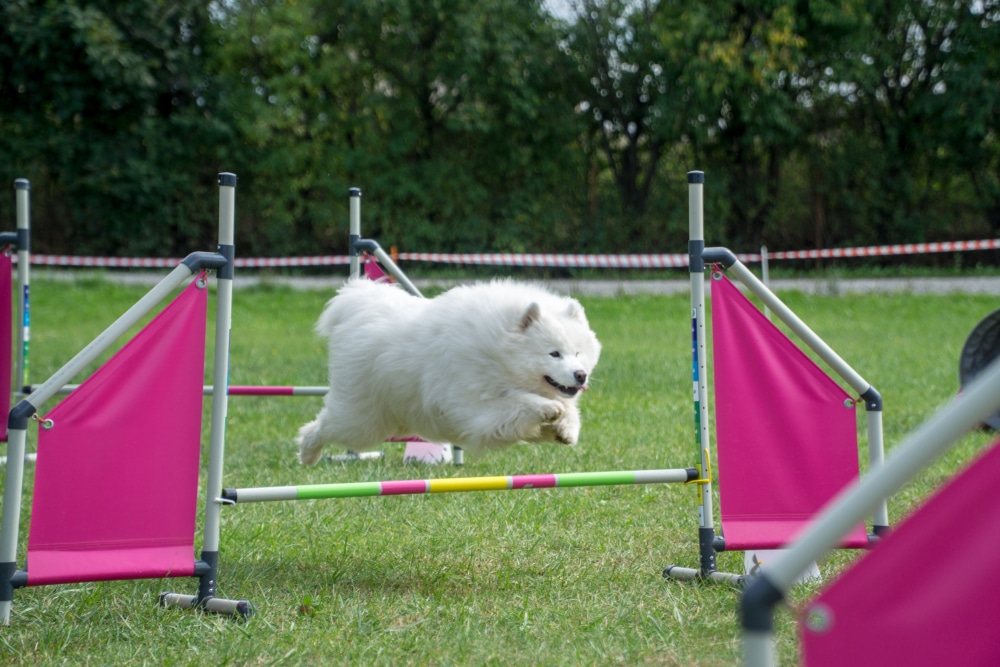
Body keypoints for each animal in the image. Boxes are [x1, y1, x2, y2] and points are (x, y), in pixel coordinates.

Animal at [292, 280, 596, 464]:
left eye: (578, 353)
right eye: (554, 353)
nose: (581, 375)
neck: (497, 351)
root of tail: (358, 305)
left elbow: (564, 411)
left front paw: (567, 429)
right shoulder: (478, 410)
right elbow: (521, 402)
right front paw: (549, 409)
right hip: (362, 421)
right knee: (321, 426)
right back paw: (307, 453)